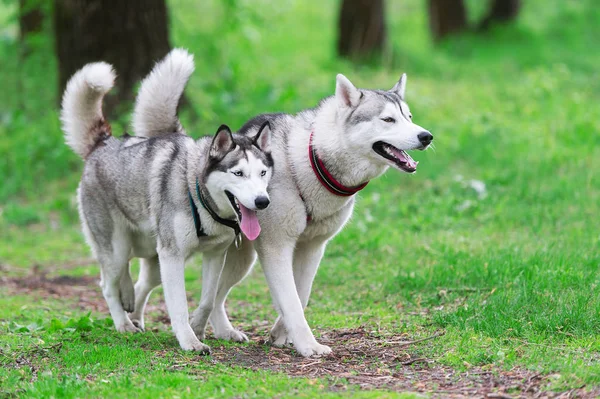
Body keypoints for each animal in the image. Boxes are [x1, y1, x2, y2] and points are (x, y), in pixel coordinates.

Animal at [61, 48, 274, 352]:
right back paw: (124, 324)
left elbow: (208, 299)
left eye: (263, 173)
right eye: (238, 173)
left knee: (137, 283)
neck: (197, 193)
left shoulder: (214, 255)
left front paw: (199, 328)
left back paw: (132, 306)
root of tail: (102, 143)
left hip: (150, 256)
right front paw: (189, 340)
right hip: (117, 248)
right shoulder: (172, 257)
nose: (261, 201)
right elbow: (179, 305)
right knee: (108, 284)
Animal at [182, 73, 432, 358]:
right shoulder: (276, 247)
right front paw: (308, 345)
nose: (427, 136)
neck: (311, 161)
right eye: (388, 119)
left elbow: (300, 295)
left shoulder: (313, 248)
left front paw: (280, 334)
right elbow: (291, 299)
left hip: (241, 263)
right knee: (213, 294)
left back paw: (223, 331)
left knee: (217, 295)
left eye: (409, 117)